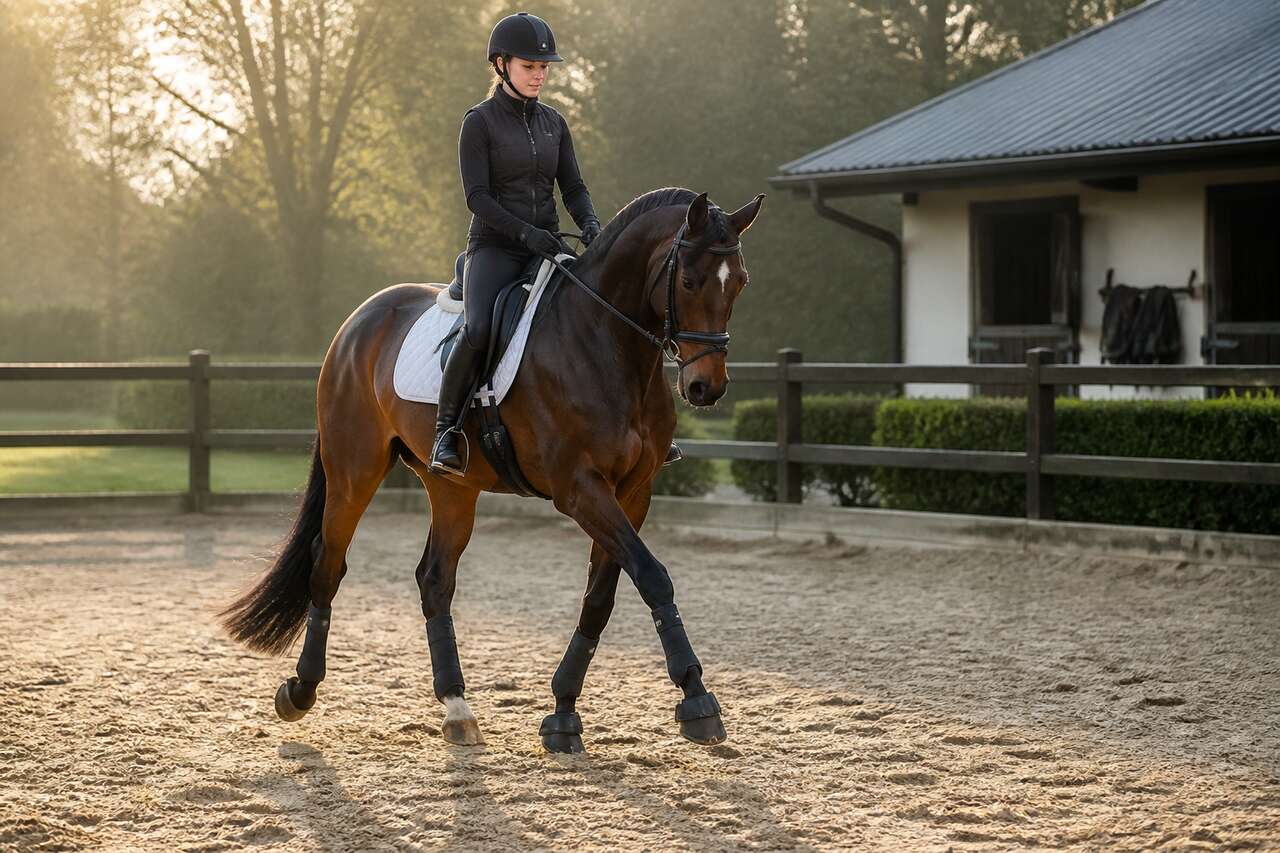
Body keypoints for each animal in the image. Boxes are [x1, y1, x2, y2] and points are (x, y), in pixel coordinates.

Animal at [220, 187, 764, 753]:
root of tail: (358, 322)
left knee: (435, 580)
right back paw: (300, 690)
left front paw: (563, 712)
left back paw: (457, 707)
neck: (605, 342)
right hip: (353, 471)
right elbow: (654, 577)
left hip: (452, 488)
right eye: (689, 281)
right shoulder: (580, 490)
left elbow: (603, 596)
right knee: (327, 565)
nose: (706, 387)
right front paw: (697, 699)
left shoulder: (633, 494)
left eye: (740, 282)